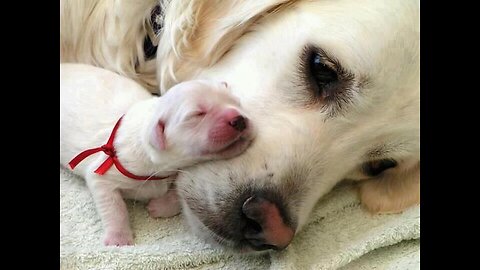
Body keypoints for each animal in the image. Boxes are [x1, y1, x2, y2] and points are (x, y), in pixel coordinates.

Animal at [60, 63, 255, 247]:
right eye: (197, 114)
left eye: (236, 101)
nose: (239, 119)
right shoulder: (104, 173)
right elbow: (114, 207)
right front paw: (118, 239)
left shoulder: (178, 172)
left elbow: (178, 193)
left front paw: (159, 207)